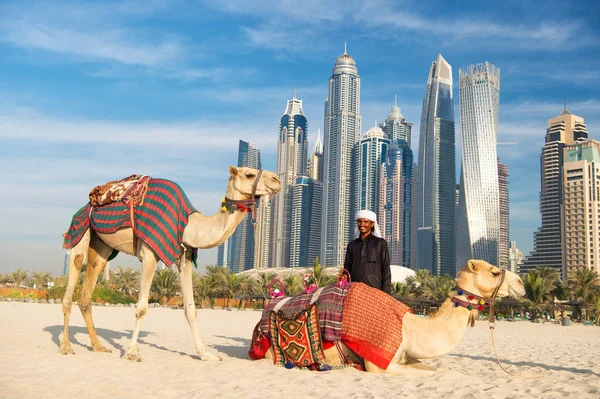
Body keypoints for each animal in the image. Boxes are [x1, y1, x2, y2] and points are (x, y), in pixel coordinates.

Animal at [61, 166, 282, 362]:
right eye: (249, 174)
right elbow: (142, 308)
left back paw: (98, 346)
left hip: (102, 247)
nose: (277, 180)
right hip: (80, 230)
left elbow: (191, 309)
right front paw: (132, 353)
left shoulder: (184, 257)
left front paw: (206, 355)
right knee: (74, 274)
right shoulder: (149, 253)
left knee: (86, 294)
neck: (189, 226)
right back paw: (66, 347)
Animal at [260, 260, 524, 376]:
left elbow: (432, 369)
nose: (521, 283)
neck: (409, 328)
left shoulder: (408, 356)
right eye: (495, 272)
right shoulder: (378, 362)